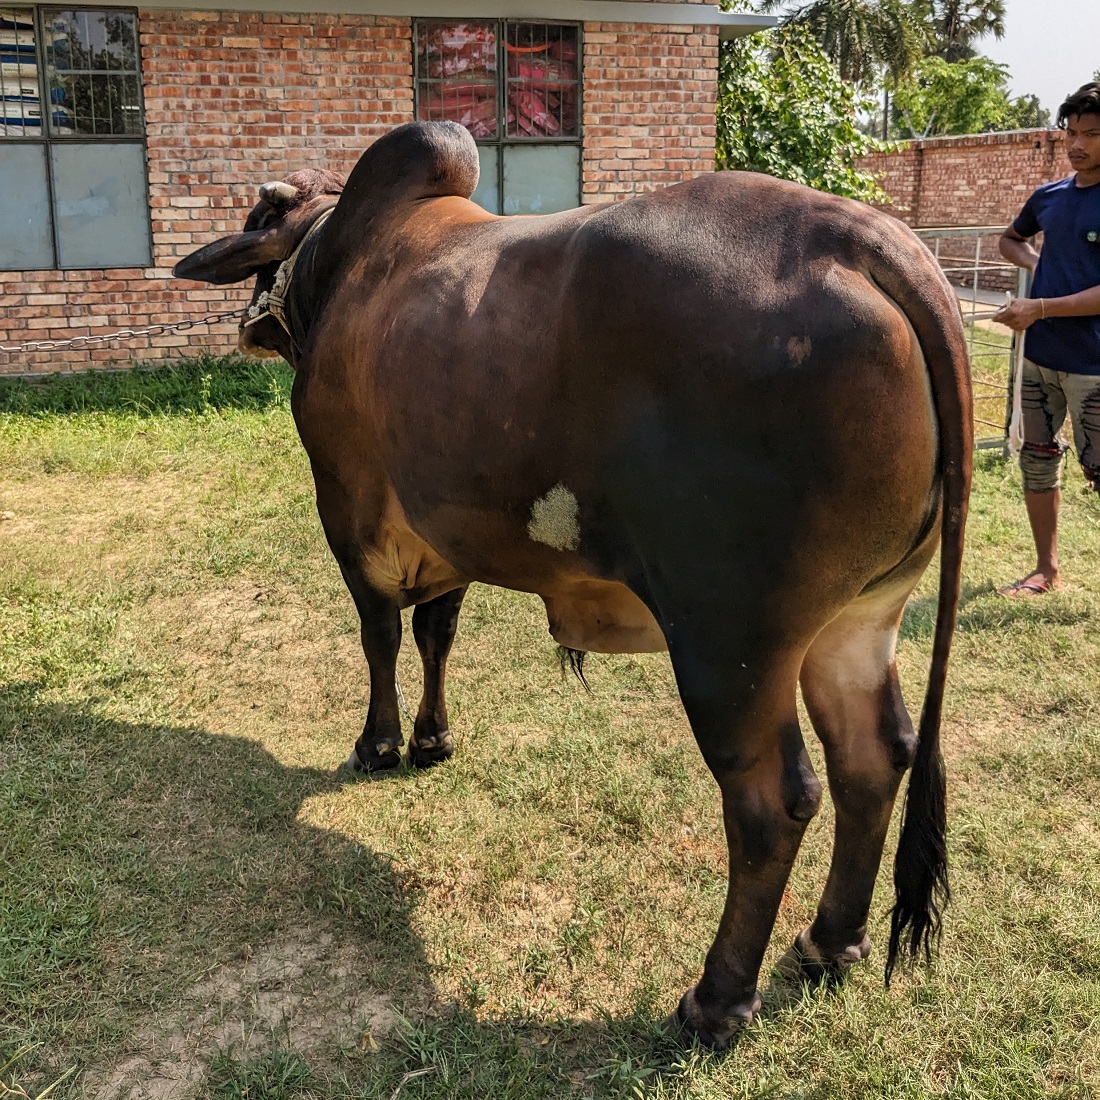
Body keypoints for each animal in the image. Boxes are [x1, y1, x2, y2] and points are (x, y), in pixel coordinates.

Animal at [173, 120, 972, 1047]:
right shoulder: (447, 534)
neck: (339, 262)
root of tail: (862, 236)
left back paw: (716, 1000)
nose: (244, 323)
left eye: (262, 219)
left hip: (730, 640)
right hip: (861, 617)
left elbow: (380, 637)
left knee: (772, 801)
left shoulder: (347, 512)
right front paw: (432, 739)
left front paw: (377, 746)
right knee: (874, 757)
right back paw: (829, 941)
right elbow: (436, 634)